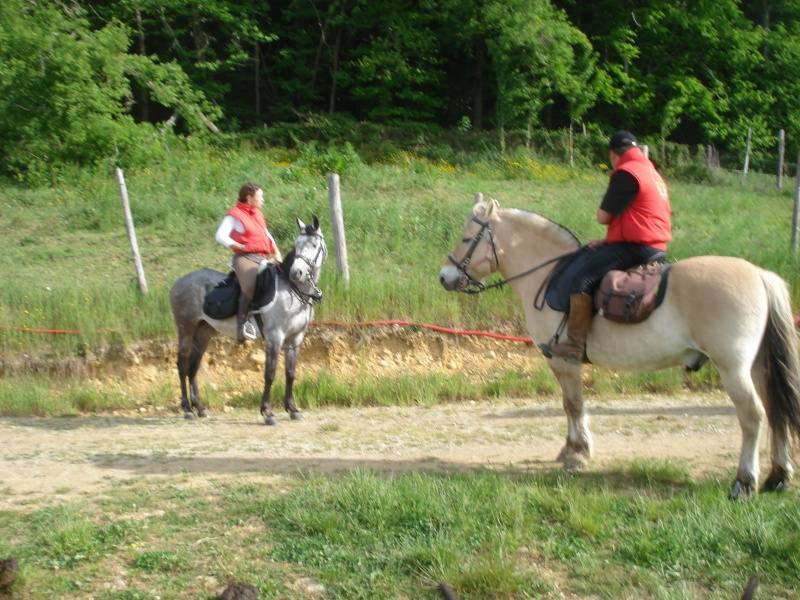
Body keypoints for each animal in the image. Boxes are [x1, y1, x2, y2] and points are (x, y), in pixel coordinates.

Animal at [170, 214, 326, 422]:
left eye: (314, 245)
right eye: (297, 244)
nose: (296, 273)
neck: (292, 290)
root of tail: (177, 283)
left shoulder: (295, 339)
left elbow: (290, 373)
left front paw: (293, 409)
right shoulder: (275, 337)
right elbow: (270, 374)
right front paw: (267, 412)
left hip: (203, 330)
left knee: (193, 365)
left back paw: (200, 408)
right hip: (185, 328)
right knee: (182, 365)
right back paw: (187, 409)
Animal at [438, 199, 800, 500]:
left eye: (468, 238)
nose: (444, 276)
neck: (546, 274)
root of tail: (759, 274)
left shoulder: (563, 360)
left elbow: (573, 404)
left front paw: (577, 452)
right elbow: (571, 405)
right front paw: (572, 448)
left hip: (733, 368)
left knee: (753, 416)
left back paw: (745, 481)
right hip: (758, 367)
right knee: (775, 411)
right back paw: (778, 476)